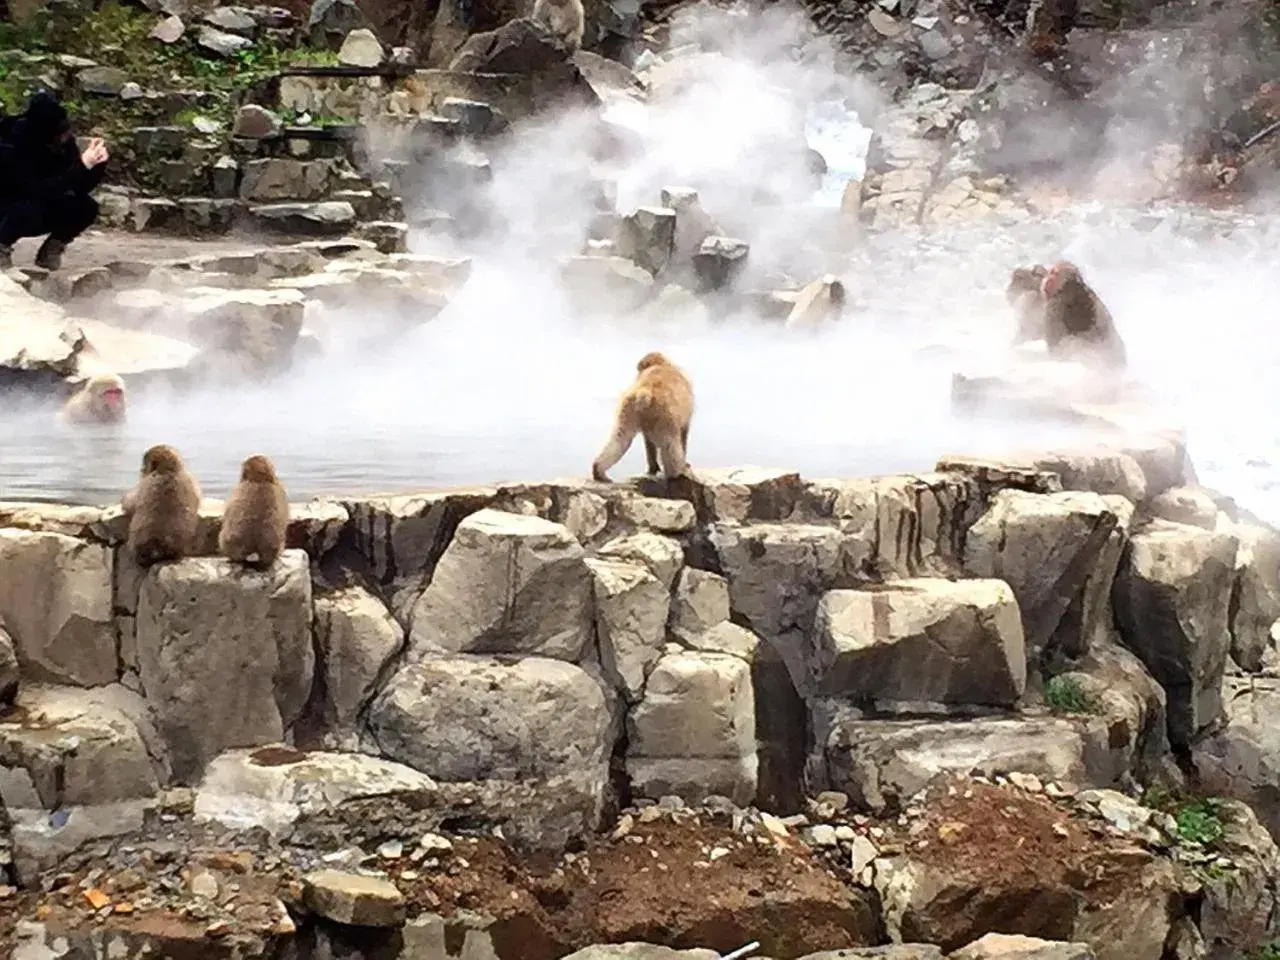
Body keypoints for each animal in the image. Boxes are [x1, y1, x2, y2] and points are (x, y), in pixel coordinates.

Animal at [591, 353, 696, 483]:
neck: (662, 364)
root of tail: (644, 392)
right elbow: (684, 432)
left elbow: (648, 440)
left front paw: (652, 467)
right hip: (663, 415)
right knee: (670, 443)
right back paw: (676, 473)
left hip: (629, 409)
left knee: (620, 439)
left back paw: (599, 471)